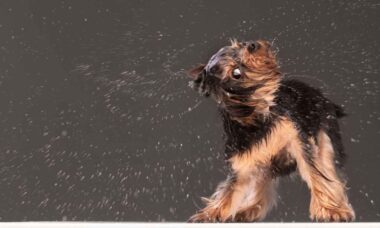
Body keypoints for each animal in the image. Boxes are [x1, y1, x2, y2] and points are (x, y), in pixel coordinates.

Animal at [186, 40, 354, 222]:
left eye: (239, 45)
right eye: (236, 73)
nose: (251, 45)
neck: (258, 116)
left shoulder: (299, 140)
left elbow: (316, 174)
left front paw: (330, 209)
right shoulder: (244, 159)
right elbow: (230, 190)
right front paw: (211, 214)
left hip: (325, 135)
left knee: (328, 168)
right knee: (262, 180)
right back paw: (249, 208)